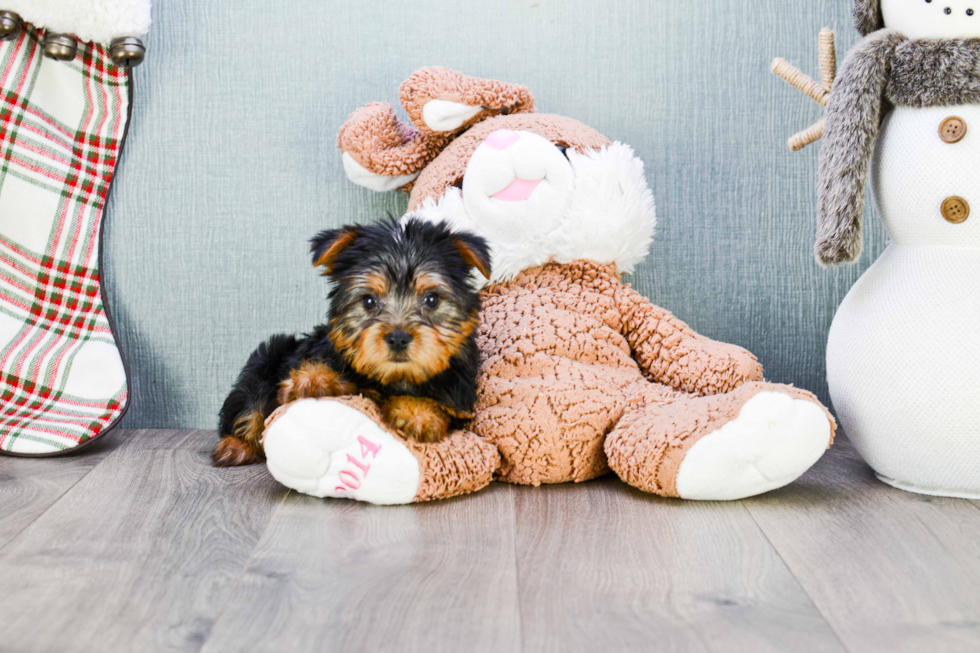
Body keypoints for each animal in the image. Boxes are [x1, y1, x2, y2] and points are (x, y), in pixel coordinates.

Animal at [212, 216, 490, 466]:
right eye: (369, 301)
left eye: (431, 300)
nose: (398, 338)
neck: (394, 378)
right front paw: (314, 378)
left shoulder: (457, 400)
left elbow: (438, 406)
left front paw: (418, 413)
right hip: (266, 360)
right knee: (251, 402)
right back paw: (236, 446)